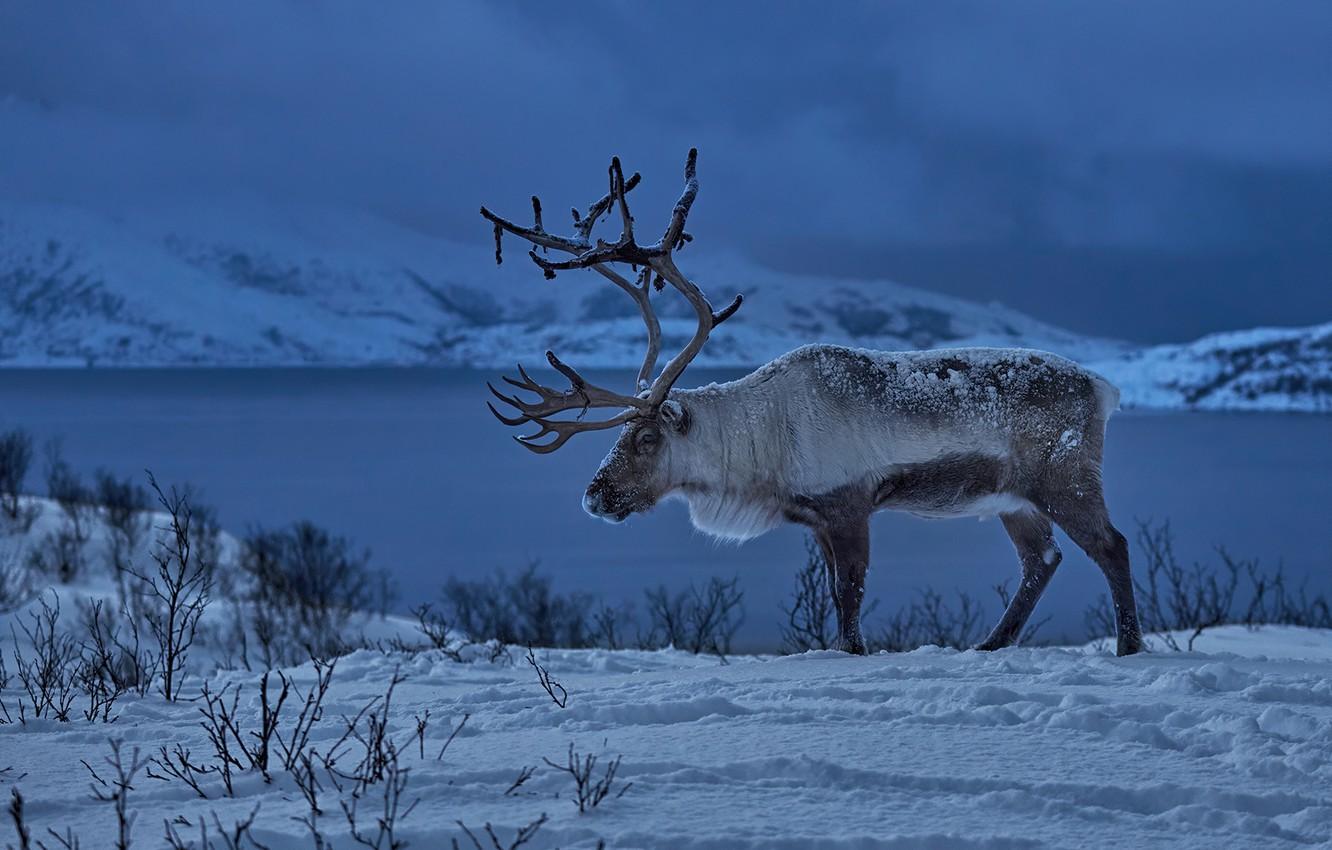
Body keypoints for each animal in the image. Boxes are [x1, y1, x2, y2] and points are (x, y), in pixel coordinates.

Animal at [480, 150, 1144, 657]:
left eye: (646, 438)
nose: (594, 497)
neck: (763, 439)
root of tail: (1103, 388)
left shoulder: (850, 505)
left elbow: (850, 602)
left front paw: (854, 653)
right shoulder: (818, 519)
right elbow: (834, 598)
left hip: (1064, 476)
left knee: (1111, 545)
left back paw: (1127, 646)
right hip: (1013, 497)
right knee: (1043, 560)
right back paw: (989, 644)